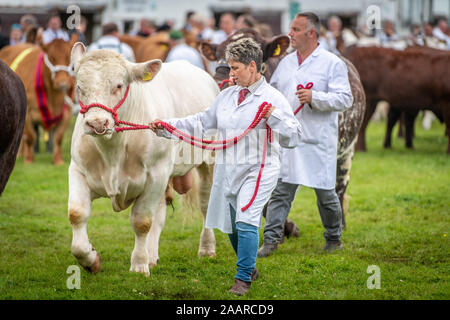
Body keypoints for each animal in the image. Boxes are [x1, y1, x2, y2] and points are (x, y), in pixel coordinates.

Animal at [0, 36, 76, 164]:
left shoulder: (68, 111)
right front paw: (29, 159)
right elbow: (31, 137)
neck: (54, 99)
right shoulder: (27, 113)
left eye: (68, 57)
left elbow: (58, 137)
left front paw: (58, 160)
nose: (62, 83)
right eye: (51, 57)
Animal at [67, 42, 219, 276]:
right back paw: (152, 255)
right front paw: (90, 259)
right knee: (160, 212)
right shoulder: (78, 169)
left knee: (205, 202)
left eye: (119, 85)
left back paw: (206, 248)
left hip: (207, 162)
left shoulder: (156, 175)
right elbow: (77, 213)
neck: (113, 151)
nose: (97, 123)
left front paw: (139, 265)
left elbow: (141, 222)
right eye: (79, 87)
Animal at [200, 26, 366, 228]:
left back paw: (340, 223)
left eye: (259, 57)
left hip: (347, 149)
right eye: (217, 55)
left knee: (338, 186)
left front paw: (288, 228)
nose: (220, 80)